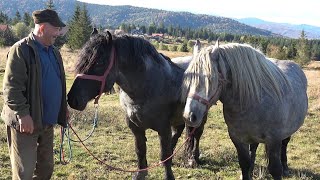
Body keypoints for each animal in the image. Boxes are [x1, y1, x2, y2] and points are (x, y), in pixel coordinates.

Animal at [68, 31, 206, 179]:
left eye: (100, 62)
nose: (72, 99)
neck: (147, 87)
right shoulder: (135, 127)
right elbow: (140, 151)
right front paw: (140, 174)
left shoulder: (163, 128)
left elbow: (164, 155)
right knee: (178, 133)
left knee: (197, 135)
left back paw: (194, 158)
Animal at [180, 41, 308, 179]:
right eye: (188, 78)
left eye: (210, 79)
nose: (189, 116)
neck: (253, 100)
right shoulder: (238, 139)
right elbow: (244, 163)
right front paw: (248, 171)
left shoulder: (274, 140)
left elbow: (275, 169)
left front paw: (280, 169)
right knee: (254, 147)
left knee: (285, 144)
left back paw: (285, 167)